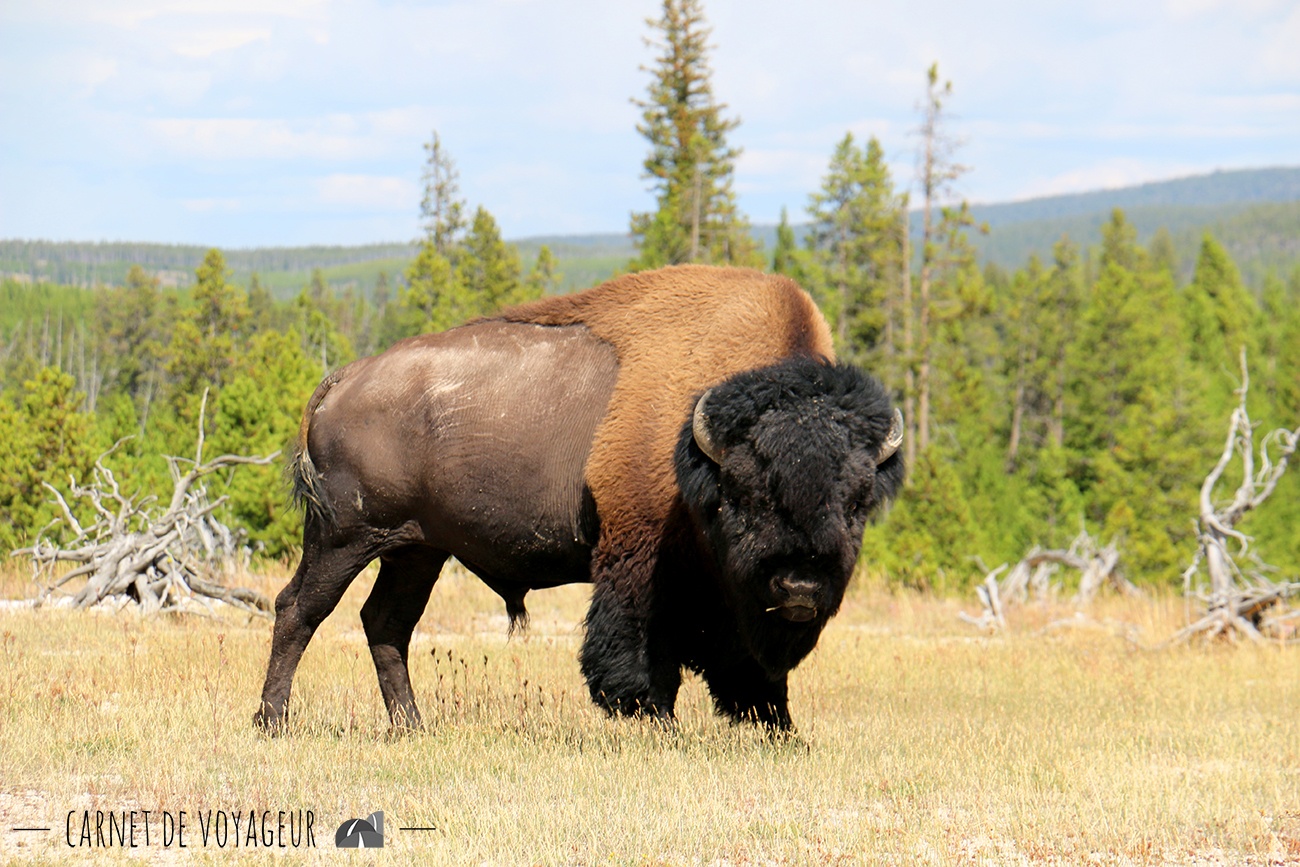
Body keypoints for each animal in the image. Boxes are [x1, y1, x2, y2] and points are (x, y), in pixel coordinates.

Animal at [254, 265, 903, 732]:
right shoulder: (639, 559)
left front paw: (779, 729)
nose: (800, 588)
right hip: (343, 537)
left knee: (387, 623)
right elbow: (641, 651)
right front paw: (652, 721)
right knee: (299, 610)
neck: (698, 451)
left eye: (859, 501)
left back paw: (413, 727)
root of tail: (345, 377)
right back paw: (273, 723)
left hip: (416, 550)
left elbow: (746, 662)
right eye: (742, 493)